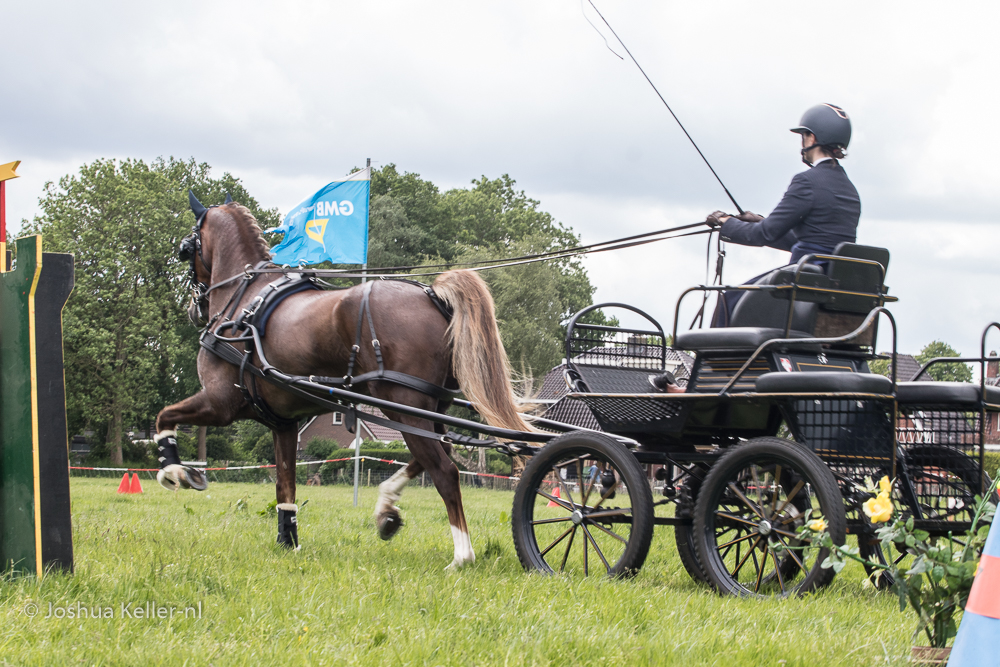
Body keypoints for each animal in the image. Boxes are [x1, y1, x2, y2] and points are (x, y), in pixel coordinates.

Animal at [154, 194, 532, 568]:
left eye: (186, 248)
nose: (194, 308)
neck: (245, 300)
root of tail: (432, 295)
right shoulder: (284, 423)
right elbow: (285, 486)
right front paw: (288, 541)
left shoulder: (220, 403)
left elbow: (164, 417)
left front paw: (173, 472)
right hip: (430, 406)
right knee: (440, 453)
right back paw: (386, 509)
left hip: (404, 405)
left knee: (444, 470)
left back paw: (462, 555)